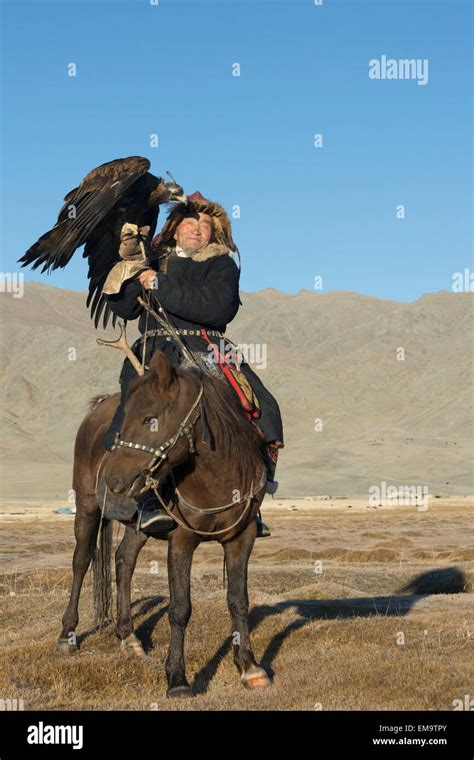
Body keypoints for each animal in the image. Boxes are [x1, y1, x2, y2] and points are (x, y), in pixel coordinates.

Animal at [57, 348, 270, 696]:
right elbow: (180, 607)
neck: (218, 480)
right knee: (81, 561)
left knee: (124, 560)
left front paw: (250, 667)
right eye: (125, 419)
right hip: (87, 506)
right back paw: (67, 635)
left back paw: (128, 636)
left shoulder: (243, 537)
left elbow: (239, 601)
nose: (114, 480)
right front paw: (178, 679)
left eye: (149, 419)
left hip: (137, 522)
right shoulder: (182, 540)